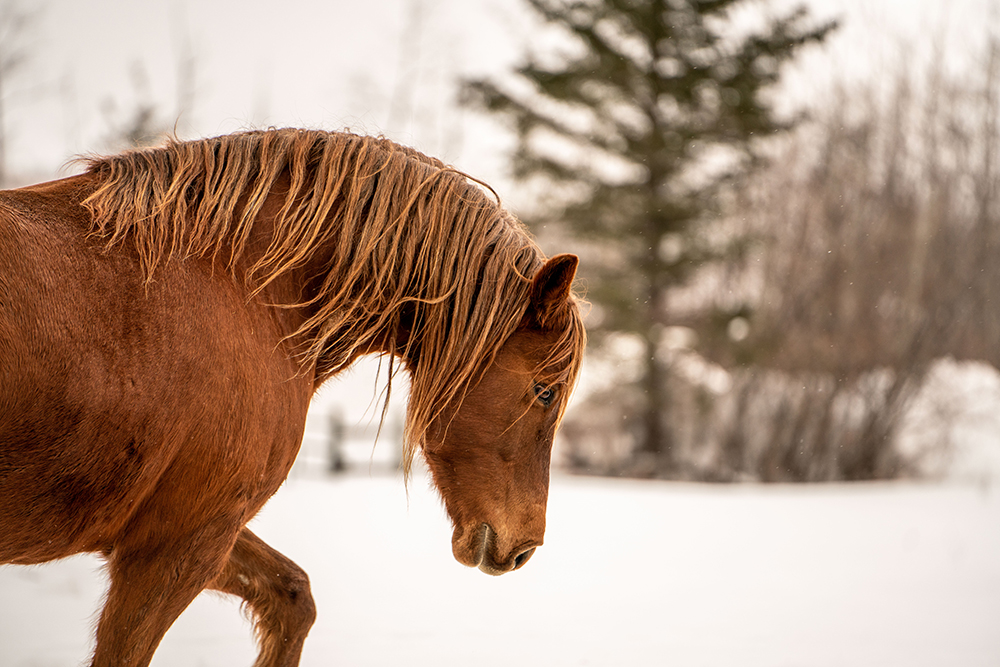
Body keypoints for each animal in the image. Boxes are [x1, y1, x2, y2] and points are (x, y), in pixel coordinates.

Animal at [0, 129, 584, 667]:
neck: (242, 285)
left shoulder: (191, 527)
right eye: (545, 391)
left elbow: (293, 596)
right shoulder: (180, 540)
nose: (524, 548)